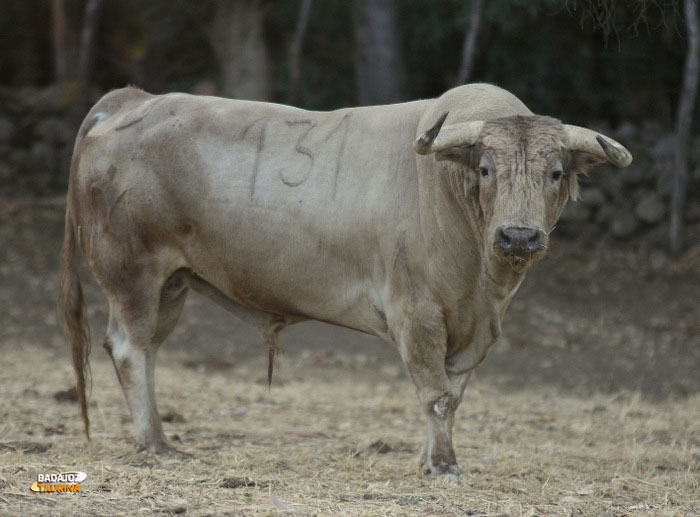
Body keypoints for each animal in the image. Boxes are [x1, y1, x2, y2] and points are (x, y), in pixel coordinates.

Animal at [58, 82, 628, 478]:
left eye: (555, 173)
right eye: (486, 169)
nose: (518, 237)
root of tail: (134, 100)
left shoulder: (476, 329)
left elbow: (453, 395)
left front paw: (431, 459)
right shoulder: (416, 313)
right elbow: (435, 394)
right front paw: (444, 466)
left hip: (172, 283)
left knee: (149, 350)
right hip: (132, 273)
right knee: (130, 349)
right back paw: (155, 442)